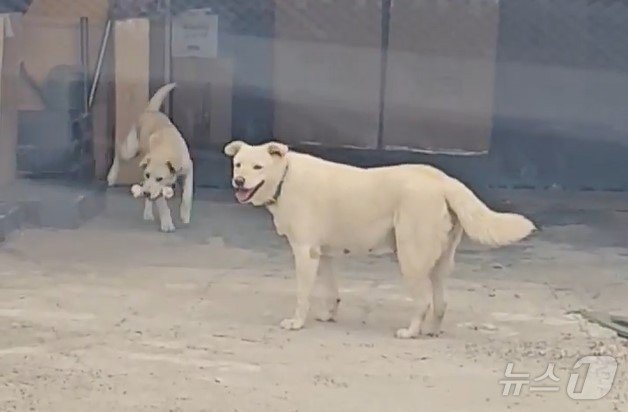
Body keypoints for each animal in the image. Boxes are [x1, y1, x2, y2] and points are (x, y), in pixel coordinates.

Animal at [106, 83, 193, 232]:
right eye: (148, 175)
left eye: (159, 178)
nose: (146, 193)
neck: (167, 147)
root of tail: (151, 110)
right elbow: (162, 205)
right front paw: (167, 223)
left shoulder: (188, 169)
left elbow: (187, 195)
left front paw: (184, 215)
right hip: (130, 149)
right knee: (118, 153)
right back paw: (112, 176)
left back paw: (147, 212)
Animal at [223, 141, 532, 338]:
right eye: (238, 165)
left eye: (257, 167)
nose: (238, 181)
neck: (285, 178)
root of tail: (443, 180)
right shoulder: (322, 253)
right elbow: (331, 290)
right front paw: (328, 315)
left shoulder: (304, 251)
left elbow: (302, 294)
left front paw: (297, 322)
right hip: (439, 263)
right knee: (441, 302)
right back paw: (431, 331)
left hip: (410, 257)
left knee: (423, 301)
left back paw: (411, 332)